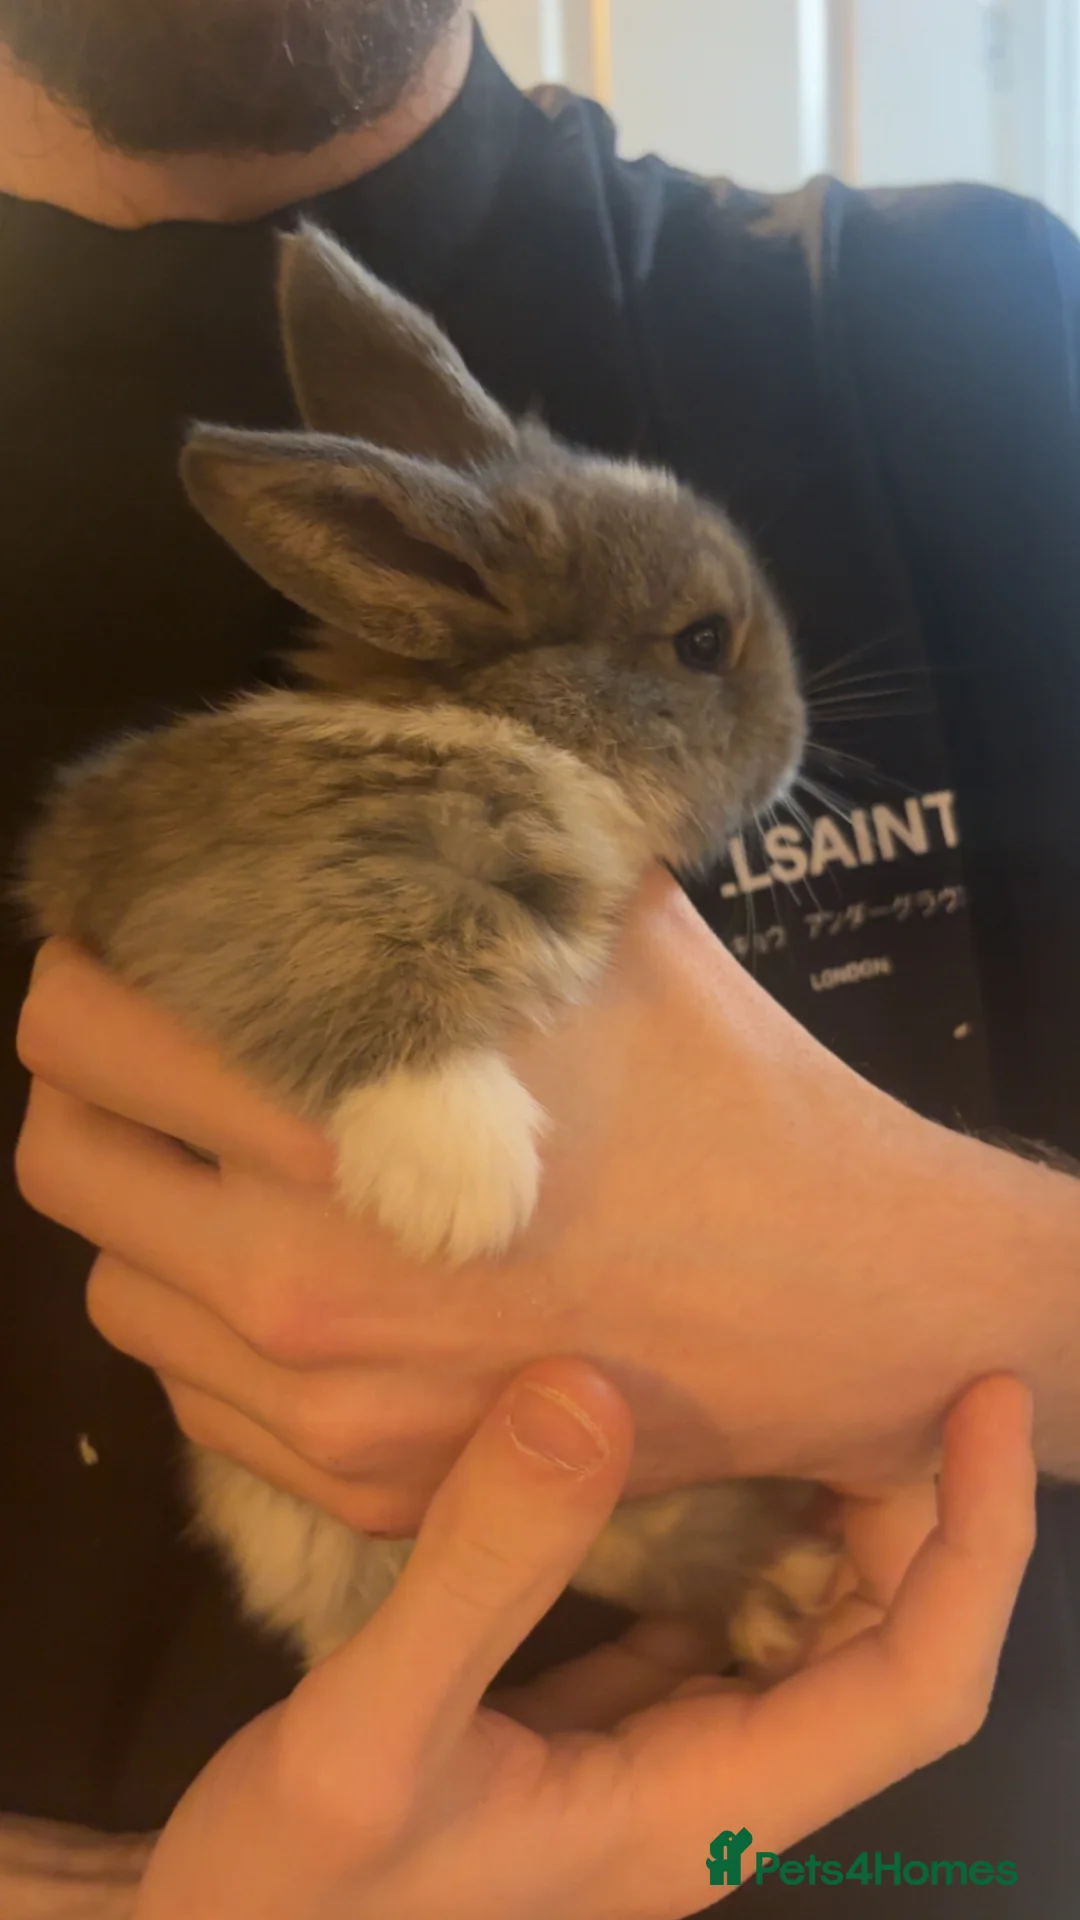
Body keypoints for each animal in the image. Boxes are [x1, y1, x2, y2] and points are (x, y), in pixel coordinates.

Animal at [18, 224, 840, 1677]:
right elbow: (368, 956)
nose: (793, 753)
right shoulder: (247, 897)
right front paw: (460, 1182)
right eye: (701, 643)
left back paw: (783, 1588)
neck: (511, 722)